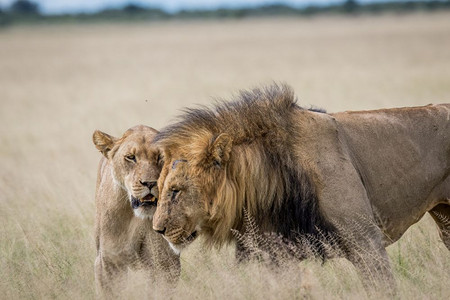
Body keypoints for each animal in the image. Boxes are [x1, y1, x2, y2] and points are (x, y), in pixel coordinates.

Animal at [92, 125, 179, 298]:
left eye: (160, 157)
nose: (150, 183)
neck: (136, 217)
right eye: (131, 157)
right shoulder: (108, 262)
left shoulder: (166, 262)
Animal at [153, 84, 448, 290]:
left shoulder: (366, 241)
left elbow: (382, 289)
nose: (158, 230)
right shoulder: (278, 256)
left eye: (176, 190)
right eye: (159, 187)